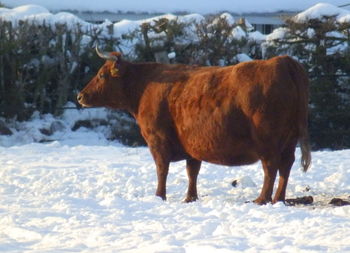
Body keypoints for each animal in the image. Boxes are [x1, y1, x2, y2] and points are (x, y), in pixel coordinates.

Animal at [78, 47, 310, 205]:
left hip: (267, 140)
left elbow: (162, 169)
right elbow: (192, 171)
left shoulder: (157, 140)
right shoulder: (193, 144)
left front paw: (159, 196)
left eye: (101, 75)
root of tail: (282, 61)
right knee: (286, 166)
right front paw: (190, 198)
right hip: (290, 140)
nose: (80, 96)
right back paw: (278, 199)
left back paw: (262, 199)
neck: (145, 86)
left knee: (271, 167)